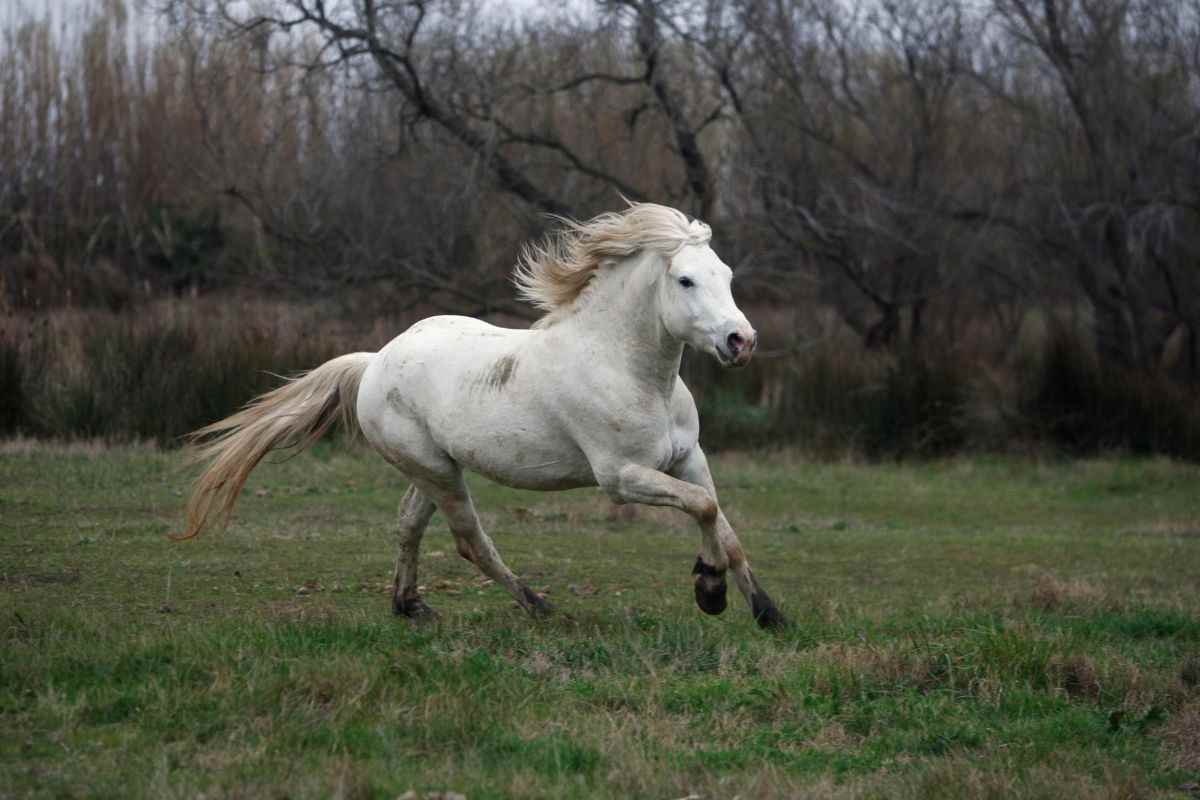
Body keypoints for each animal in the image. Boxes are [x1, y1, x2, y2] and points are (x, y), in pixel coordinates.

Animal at [175, 202, 786, 630]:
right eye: (685, 280)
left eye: (726, 274)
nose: (742, 341)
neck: (628, 370)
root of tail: (375, 361)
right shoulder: (620, 477)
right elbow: (704, 509)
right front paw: (709, 591)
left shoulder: (687, 459)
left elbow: (721, 522)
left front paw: (765, 612)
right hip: (438, 471)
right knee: (470, 539)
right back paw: (539, 606)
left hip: (433, 467)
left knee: (408, 523)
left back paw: (410, 606)